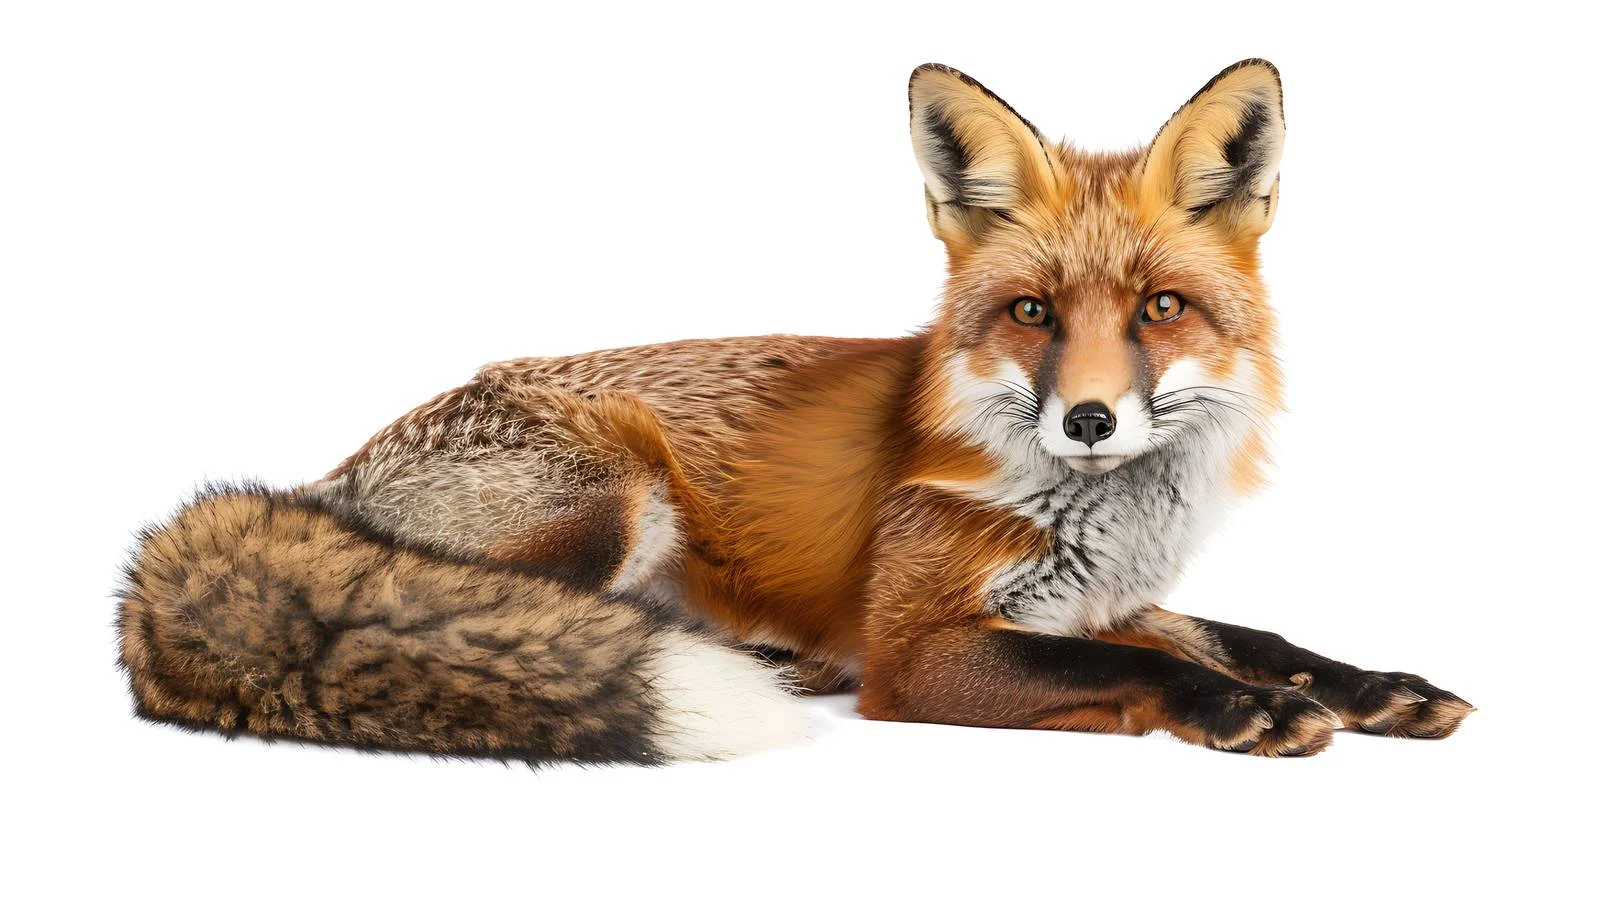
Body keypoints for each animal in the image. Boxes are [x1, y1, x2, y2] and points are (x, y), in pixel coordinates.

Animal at [118, 59, 1473, 763]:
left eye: (1159, 309)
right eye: (1033, 312)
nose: (1088, 422)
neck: (1096, 512)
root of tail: (328, 479)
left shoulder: (1100, 592)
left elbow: (1242, 632)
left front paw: (1368, 686)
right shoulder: (923, 645)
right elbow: (1129, 664)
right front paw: (1246, 712)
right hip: (610, 504)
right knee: (493, 621)